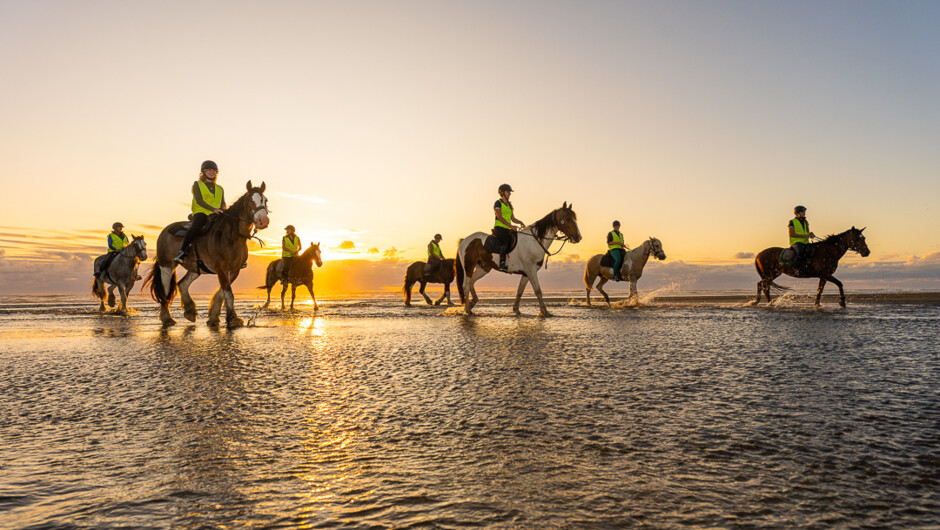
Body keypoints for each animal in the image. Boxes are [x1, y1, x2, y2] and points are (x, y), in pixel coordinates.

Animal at [143, 182, 270, 326]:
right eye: (250, 200)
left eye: (265, 200)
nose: (263, 221)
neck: (232, 236)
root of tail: (164, 231)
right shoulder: (222, 268)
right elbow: (228, 293)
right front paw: (233, 318)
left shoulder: (234, 270)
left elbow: (222, 293)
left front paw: (214, 317)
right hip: (167, 266)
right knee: (165, 290)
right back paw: (167, 318)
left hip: (195, 268)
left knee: (182, 284)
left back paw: (190, 311)